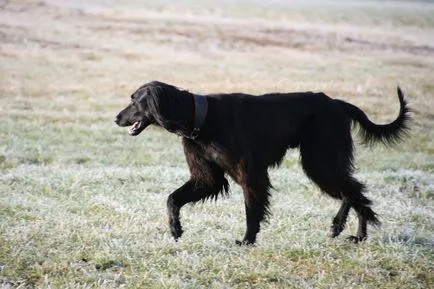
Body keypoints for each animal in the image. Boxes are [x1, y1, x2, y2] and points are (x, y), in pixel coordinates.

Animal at [113, 80, 408, 243]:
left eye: (135, 101)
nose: (116, 118)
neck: (202, 118)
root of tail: (337, 103)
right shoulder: (207, 178)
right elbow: (172, 199)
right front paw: (176, 229)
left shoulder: (250, 175)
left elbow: (251, 210)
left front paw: (247, 240)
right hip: (323, 162)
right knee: (351, 189)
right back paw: (342, 228)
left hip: (320, 160)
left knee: (355, 190)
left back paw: (359, 235)